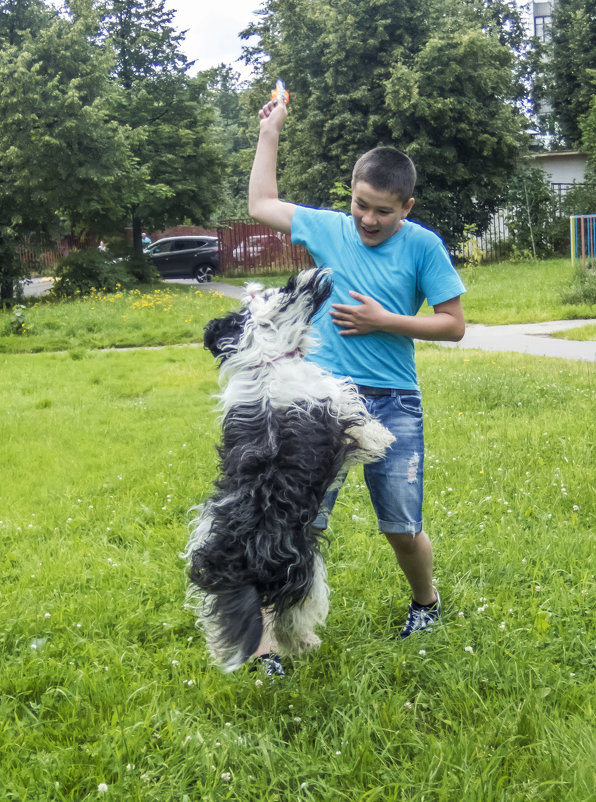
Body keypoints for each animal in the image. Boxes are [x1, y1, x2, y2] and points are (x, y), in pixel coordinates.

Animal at [184, 268, 394, 668]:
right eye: (276, 290)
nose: (313, 272)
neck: (267, 362)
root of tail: (246, 562)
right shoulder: (337, 406)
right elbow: (361, 426)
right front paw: (382, 437)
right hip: (306, 570)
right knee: (292, 619)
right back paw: (306, 643)